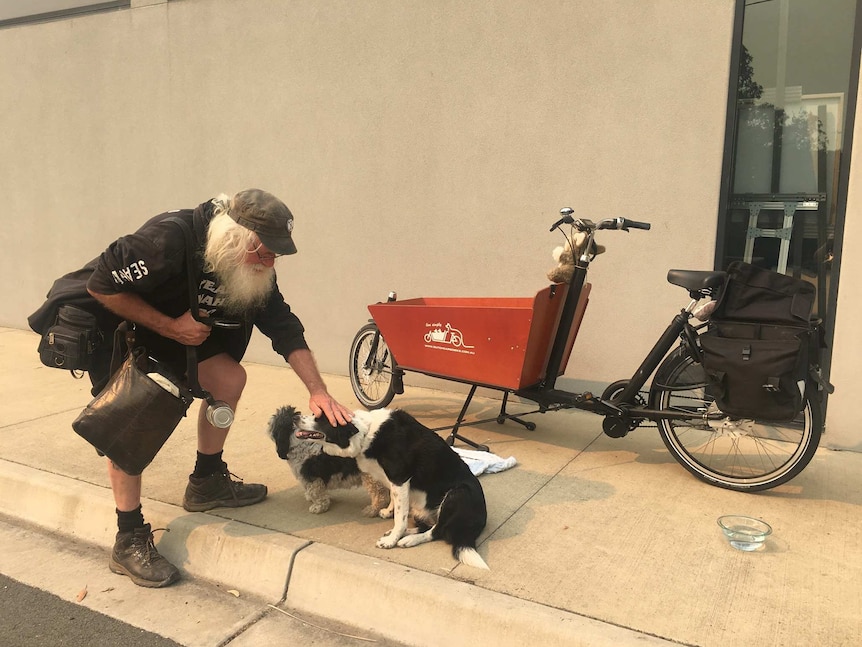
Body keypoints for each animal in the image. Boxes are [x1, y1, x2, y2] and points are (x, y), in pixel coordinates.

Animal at [294, 408, 490, 568]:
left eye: (320, 418)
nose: (295, 417)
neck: (366, 434)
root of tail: (478, 522)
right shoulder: (394, 482)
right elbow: (396, 506)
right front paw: (389, 513)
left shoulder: (400, 479)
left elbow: (400, 517)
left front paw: (391, 541)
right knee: (429, 526)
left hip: (458, 493)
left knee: (438, 531)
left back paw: (409, 539)